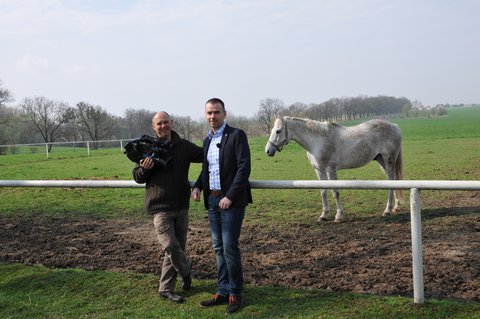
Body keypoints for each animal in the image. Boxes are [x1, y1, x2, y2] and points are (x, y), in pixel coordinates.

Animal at [264, 116, 404, 224]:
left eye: (278, 131)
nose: (268, 151)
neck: (318, 141)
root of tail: (395, 126)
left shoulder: (331, 170)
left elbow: (335, 192)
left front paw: (339, 216)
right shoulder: (319, 170)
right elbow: (323, 192)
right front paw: (323, 215)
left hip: (388, 160)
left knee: (391, 181)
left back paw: (387, 210)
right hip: (381, 160)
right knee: (394, 180)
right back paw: (396, 207)